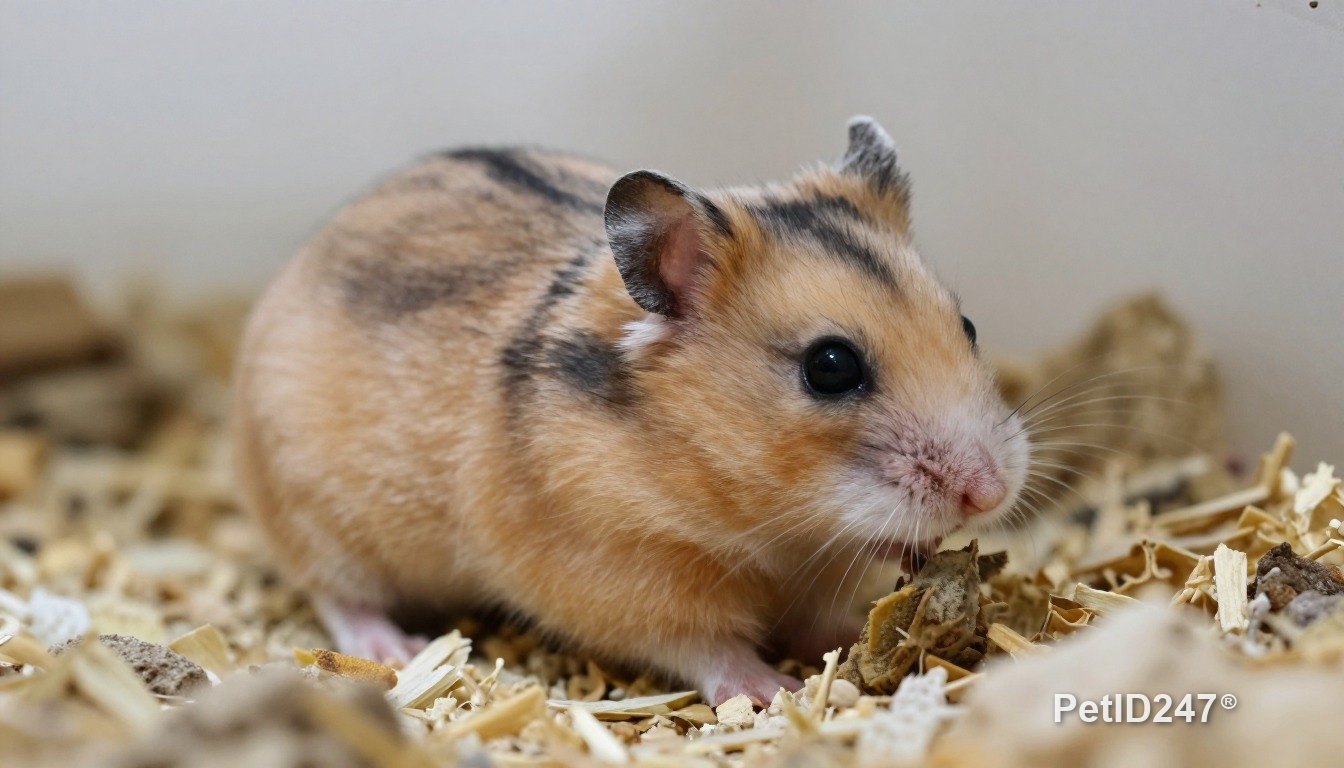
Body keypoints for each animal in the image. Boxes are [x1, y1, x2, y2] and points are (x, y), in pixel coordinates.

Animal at [232, 116, 1029, 705]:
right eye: (830, 367)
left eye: (967, 325)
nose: (988, 494)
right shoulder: (623, 574)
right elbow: (706, 645)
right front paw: (771, 691)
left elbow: (821, 613)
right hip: (316, 518)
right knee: (337, 595)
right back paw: (394, 648)